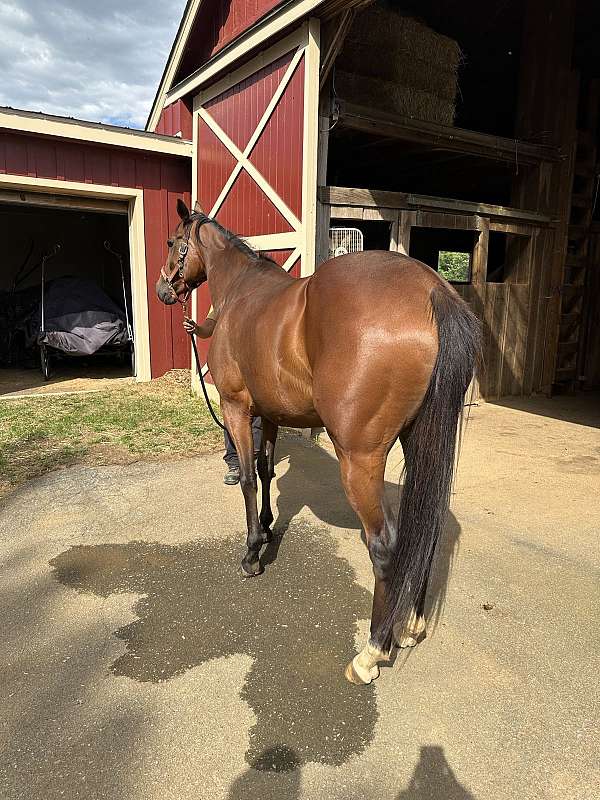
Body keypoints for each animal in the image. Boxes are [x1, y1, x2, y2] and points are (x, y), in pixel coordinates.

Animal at [157, 198, 480, 680]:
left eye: (173, 241)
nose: (163, 290)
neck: (241, 292)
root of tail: (432, 291)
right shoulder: (271, 414)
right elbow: (266, 471)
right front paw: (268, 528)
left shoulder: (237, 408)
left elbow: (248, 478)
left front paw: (251, 553)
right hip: (419, 441)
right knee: (426, 529)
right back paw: (410, 625)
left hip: (360, 460)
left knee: (386, 545)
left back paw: (372, 651)